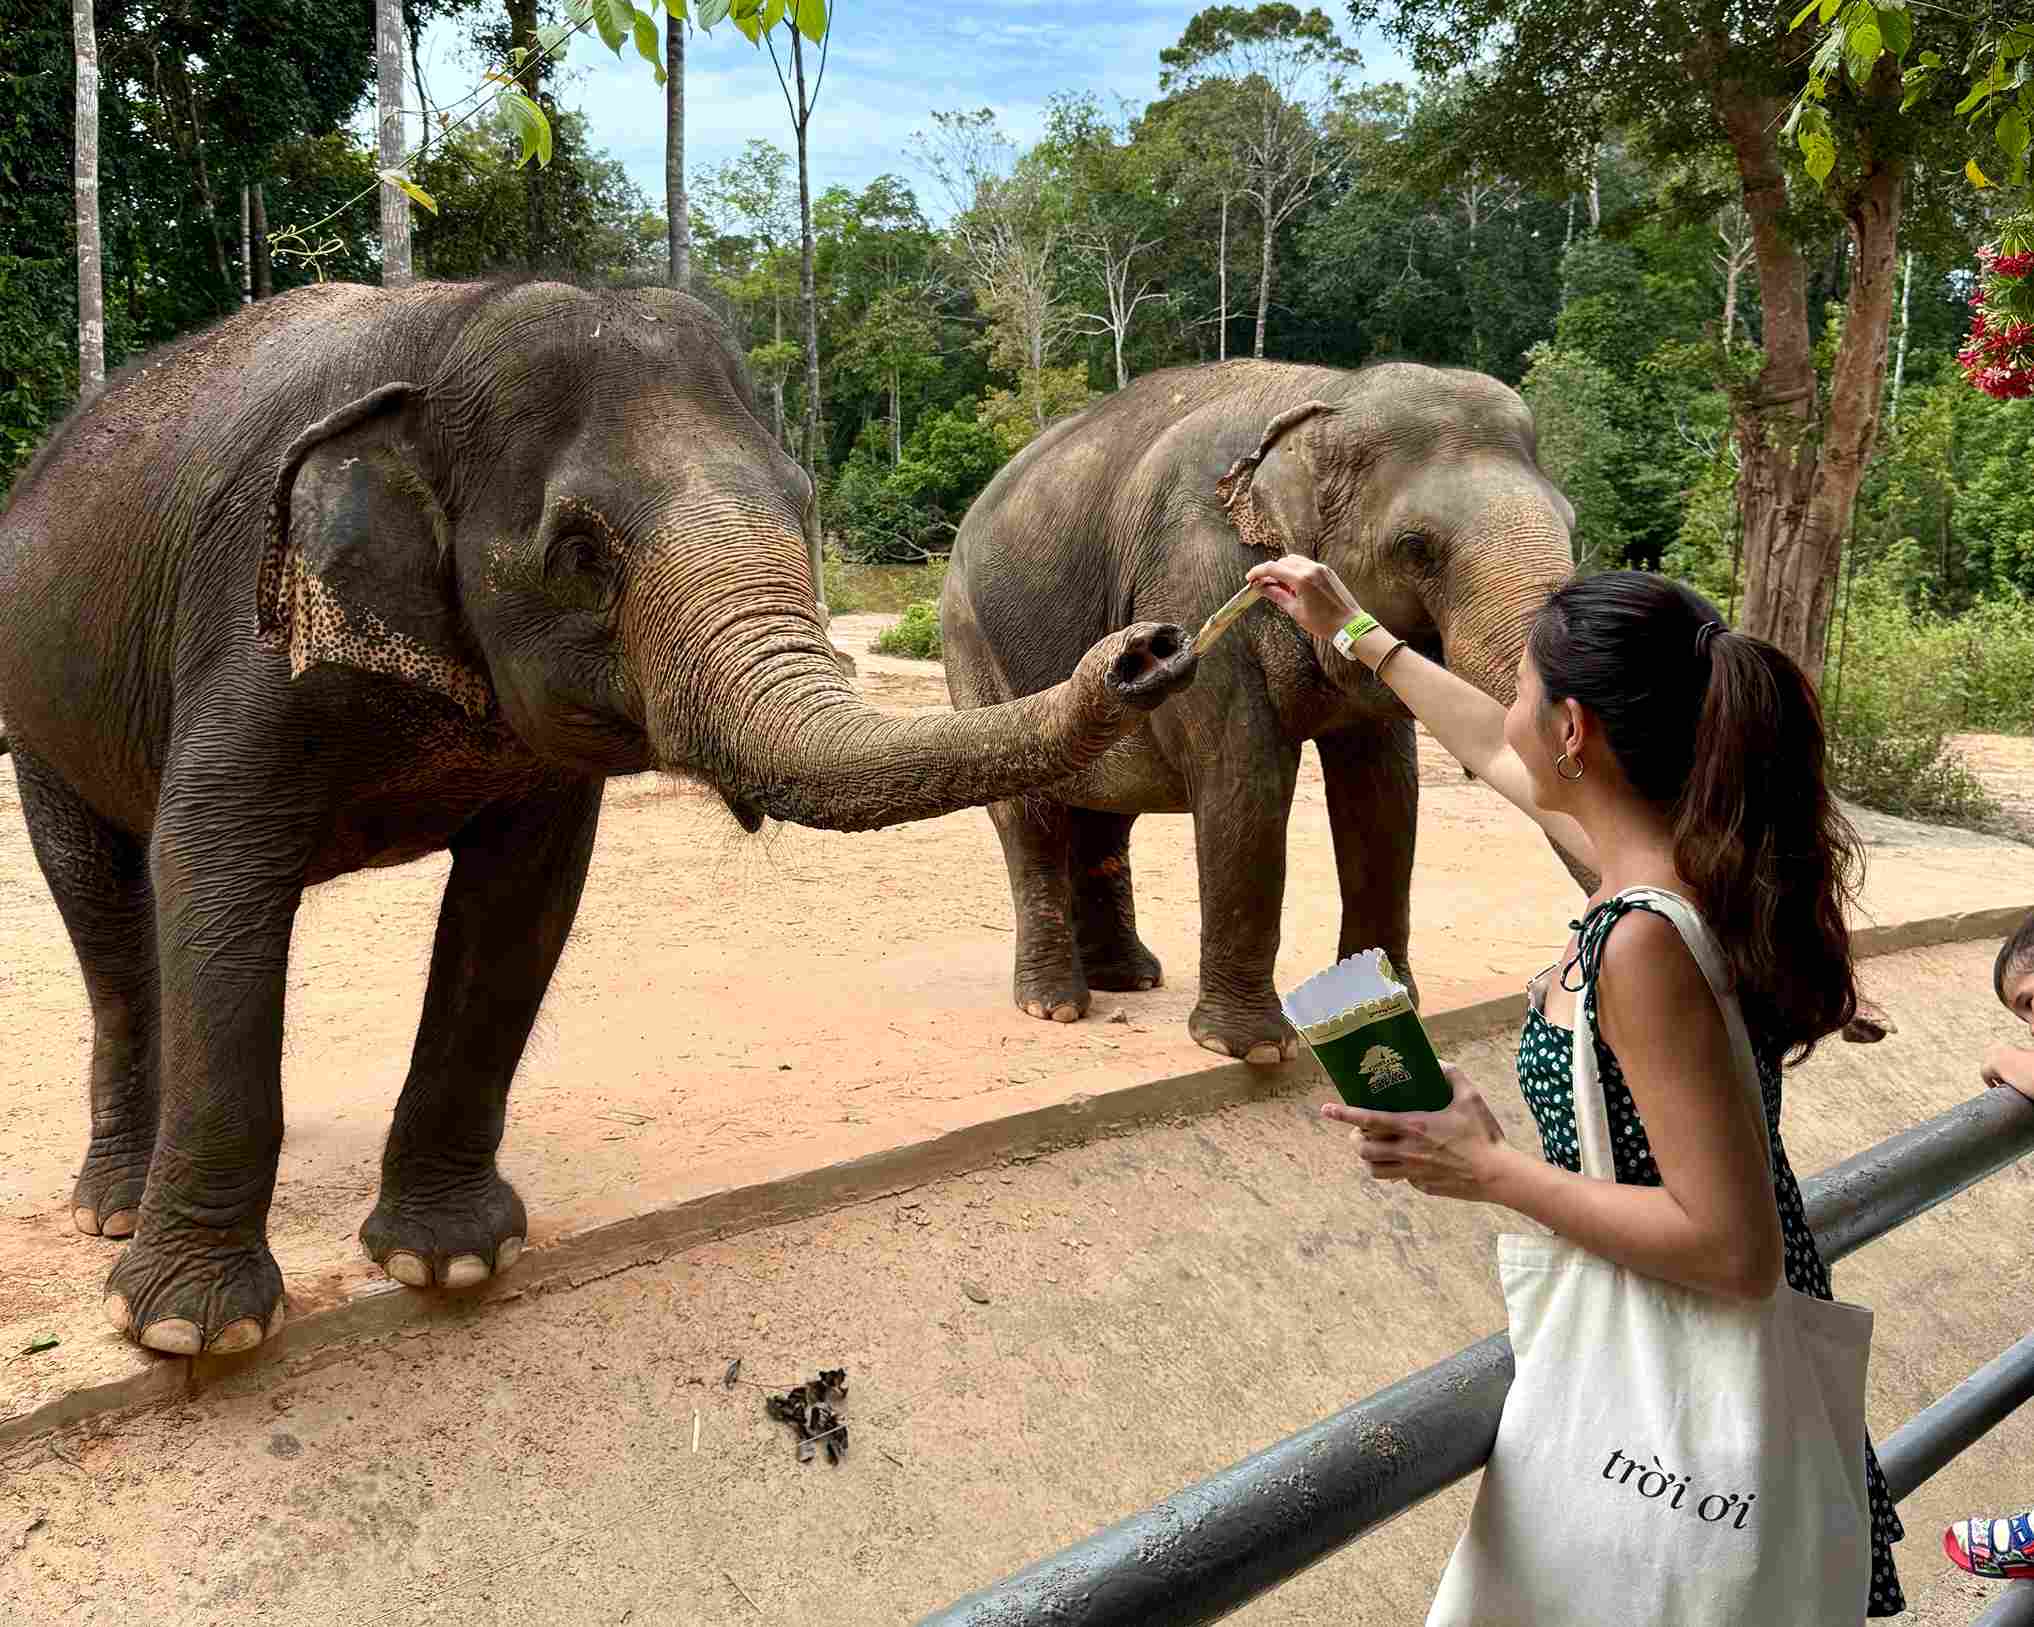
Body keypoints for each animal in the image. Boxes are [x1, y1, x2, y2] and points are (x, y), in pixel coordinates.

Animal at [0, 282, 1195, 1358]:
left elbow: (519, 905)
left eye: (805, 504)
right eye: (580, 552)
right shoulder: (246, 632)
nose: (1151, 647)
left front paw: (452, 1260)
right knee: (112, 921)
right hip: (38, 719)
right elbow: (214, 872)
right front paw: (189, 1330)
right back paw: (111, 1210)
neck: (445, 329)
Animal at [939, 359, 1586, 1065]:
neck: (1328, 397)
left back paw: (1129, 980)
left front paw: (1391, 1003)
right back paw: (1056, 1004)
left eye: (1574, 528)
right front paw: (1249, 1049)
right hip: (971, 644)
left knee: (1105, 814)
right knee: (1029, 814)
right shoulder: (1193, 579)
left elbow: (1385, 795)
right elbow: (1246, 777)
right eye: (1416, 547)